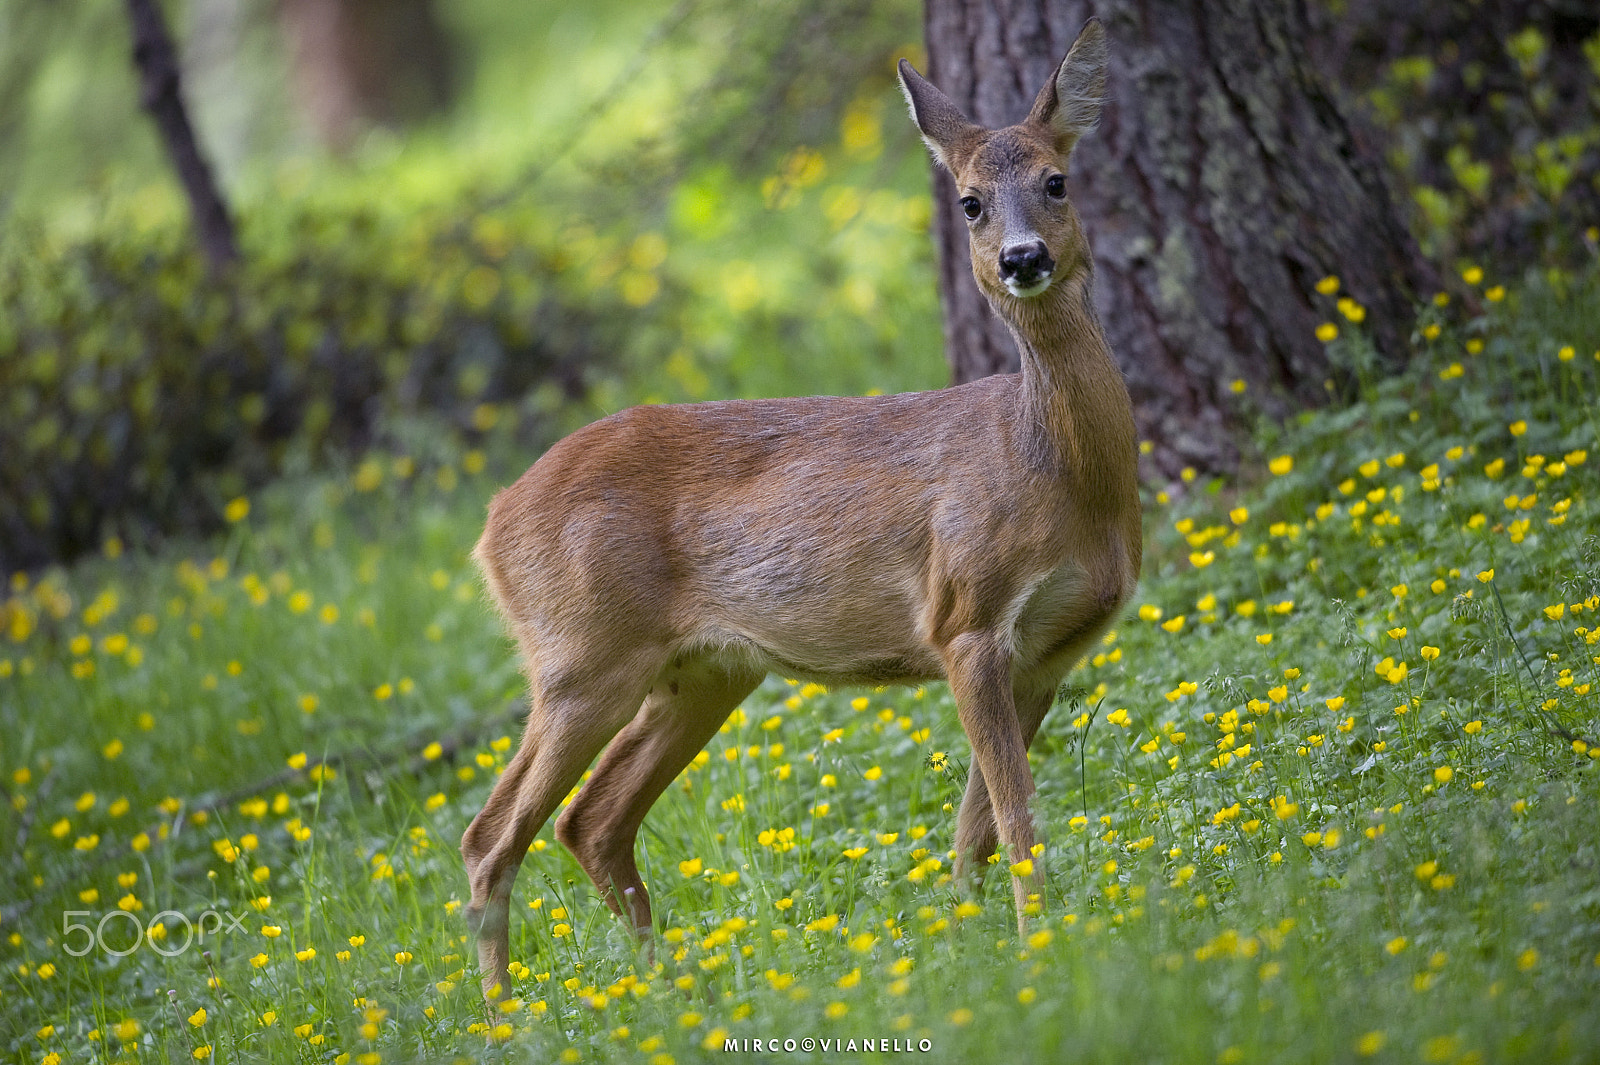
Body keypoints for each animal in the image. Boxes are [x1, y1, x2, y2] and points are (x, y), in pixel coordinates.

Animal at [460, 16, 1139, 1002]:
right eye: (970, 202)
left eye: (1057, 180)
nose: (1023, 259)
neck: (1057, 472)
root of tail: (491, 522)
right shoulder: (966, 619)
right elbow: (1015, 819)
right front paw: (1036, 955)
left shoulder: (1048, 654)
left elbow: (973, 825)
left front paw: (975, 945)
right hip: (579, 655)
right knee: (490, 834)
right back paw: (512, 1013)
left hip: (703, 671)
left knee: (592, 816)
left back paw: (662, 991)